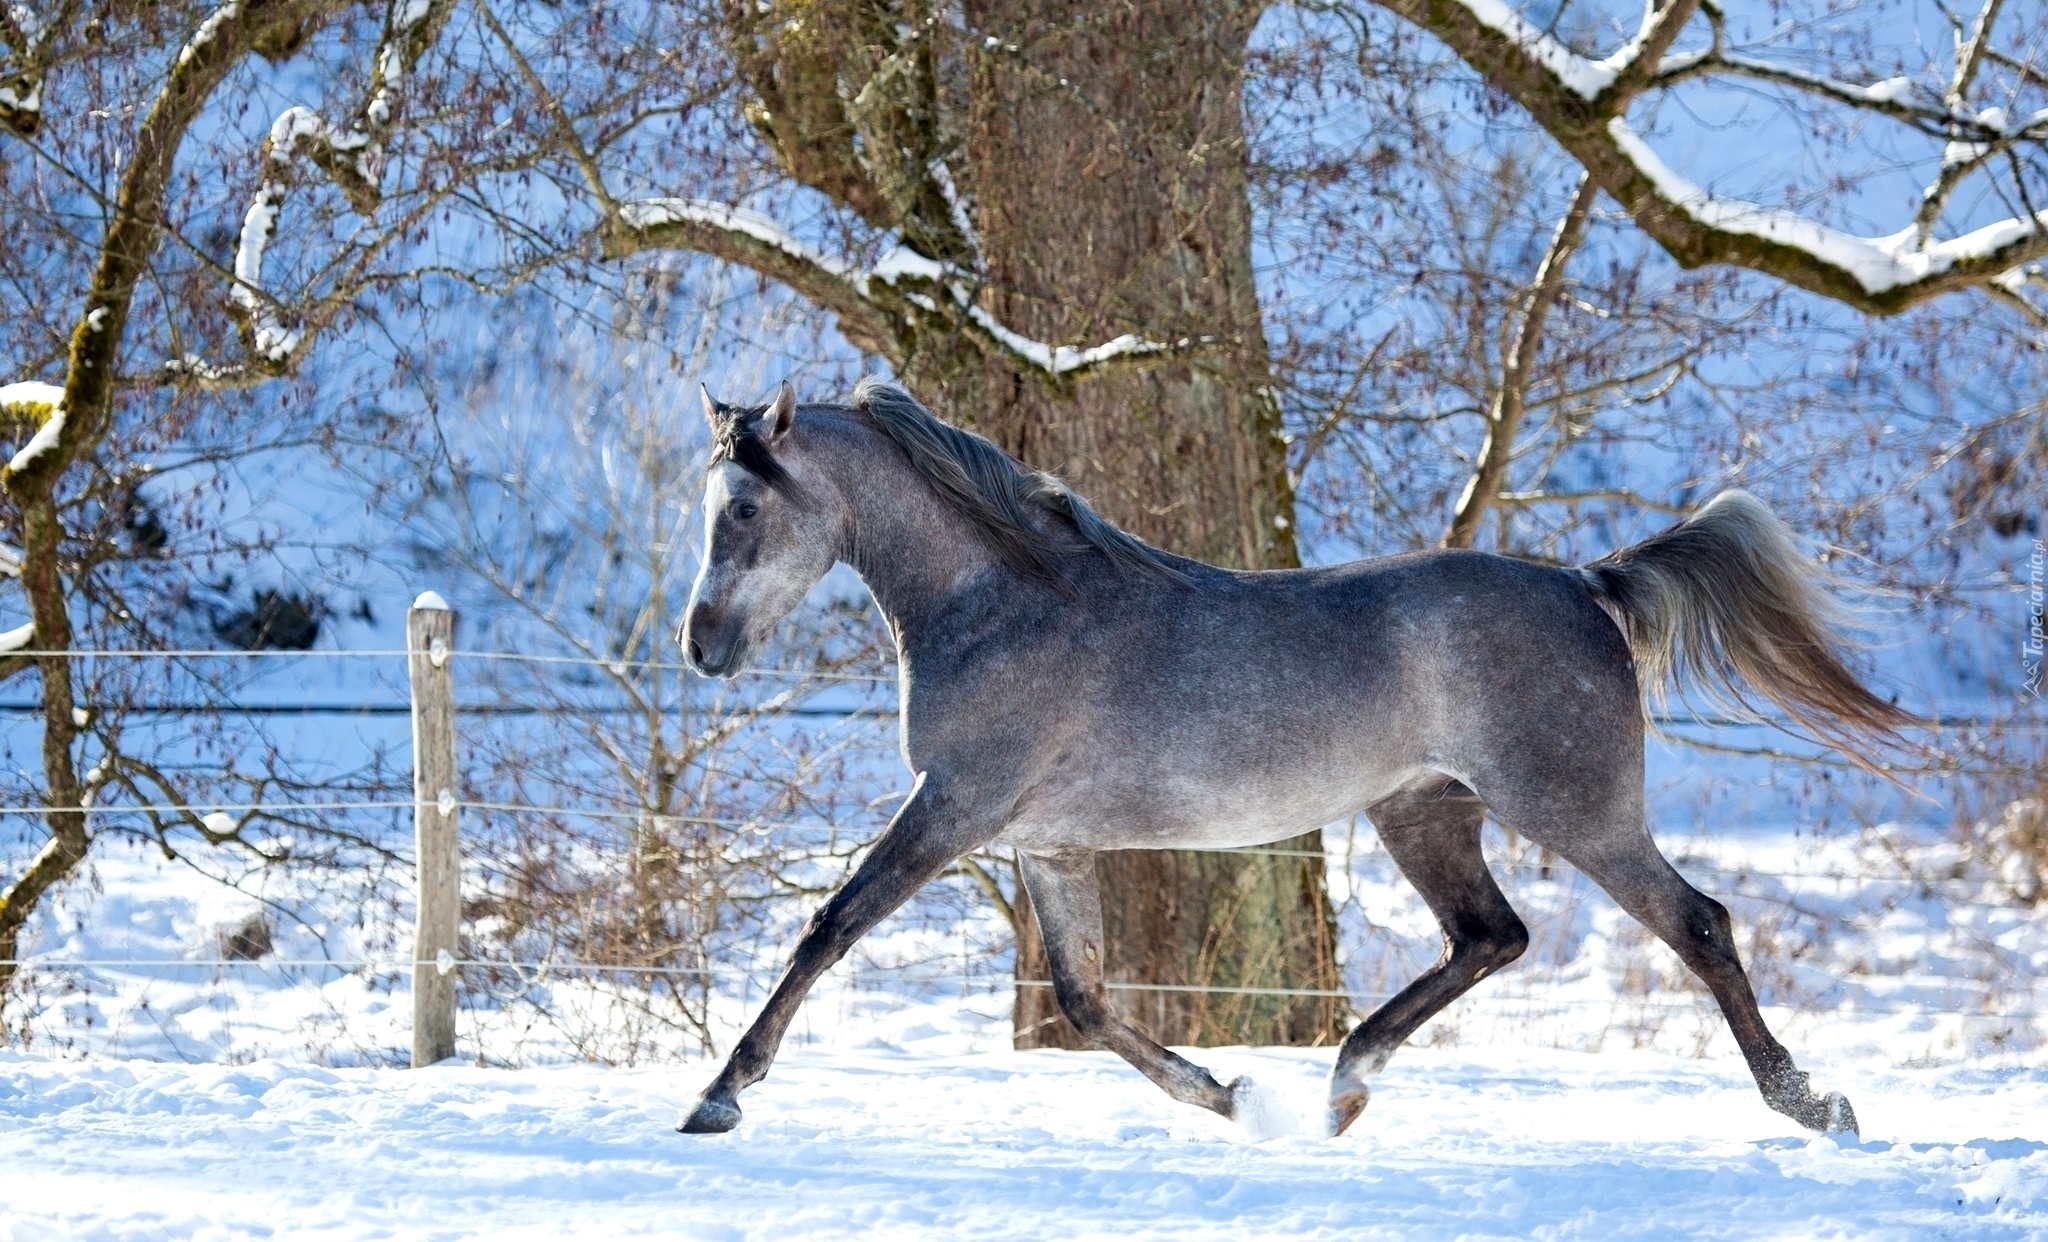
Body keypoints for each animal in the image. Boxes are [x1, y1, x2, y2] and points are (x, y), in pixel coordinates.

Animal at [679, 377, 1908, 1139]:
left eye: (739, 509)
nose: (702, 646)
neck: (1004, 605)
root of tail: (1584, 582)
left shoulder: (952, 809)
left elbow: (828, 928)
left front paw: (718, 1097)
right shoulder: (1044, 843)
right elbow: (1086, 1002)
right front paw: (1230, 1099)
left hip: (1575, 810)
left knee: (1697, 924)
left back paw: (1815, 1107)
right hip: (1424, 813)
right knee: (1488, 936)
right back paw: (1340, 1090)